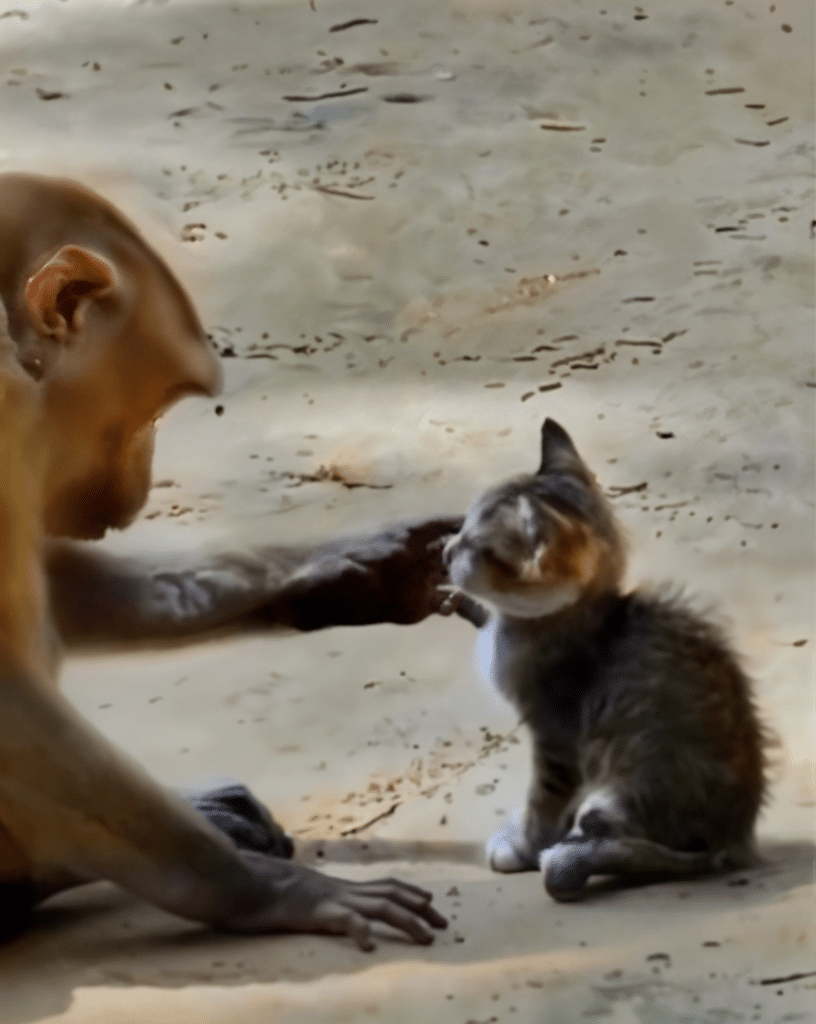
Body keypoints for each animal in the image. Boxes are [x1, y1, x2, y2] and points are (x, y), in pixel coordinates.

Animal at [440, 419, 765, 901]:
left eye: (476, 550)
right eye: (459, 529)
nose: (444, 552)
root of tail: (736, 838)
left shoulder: (557, 737)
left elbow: (545, 800)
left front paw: (524, 846)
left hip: (624, 790)